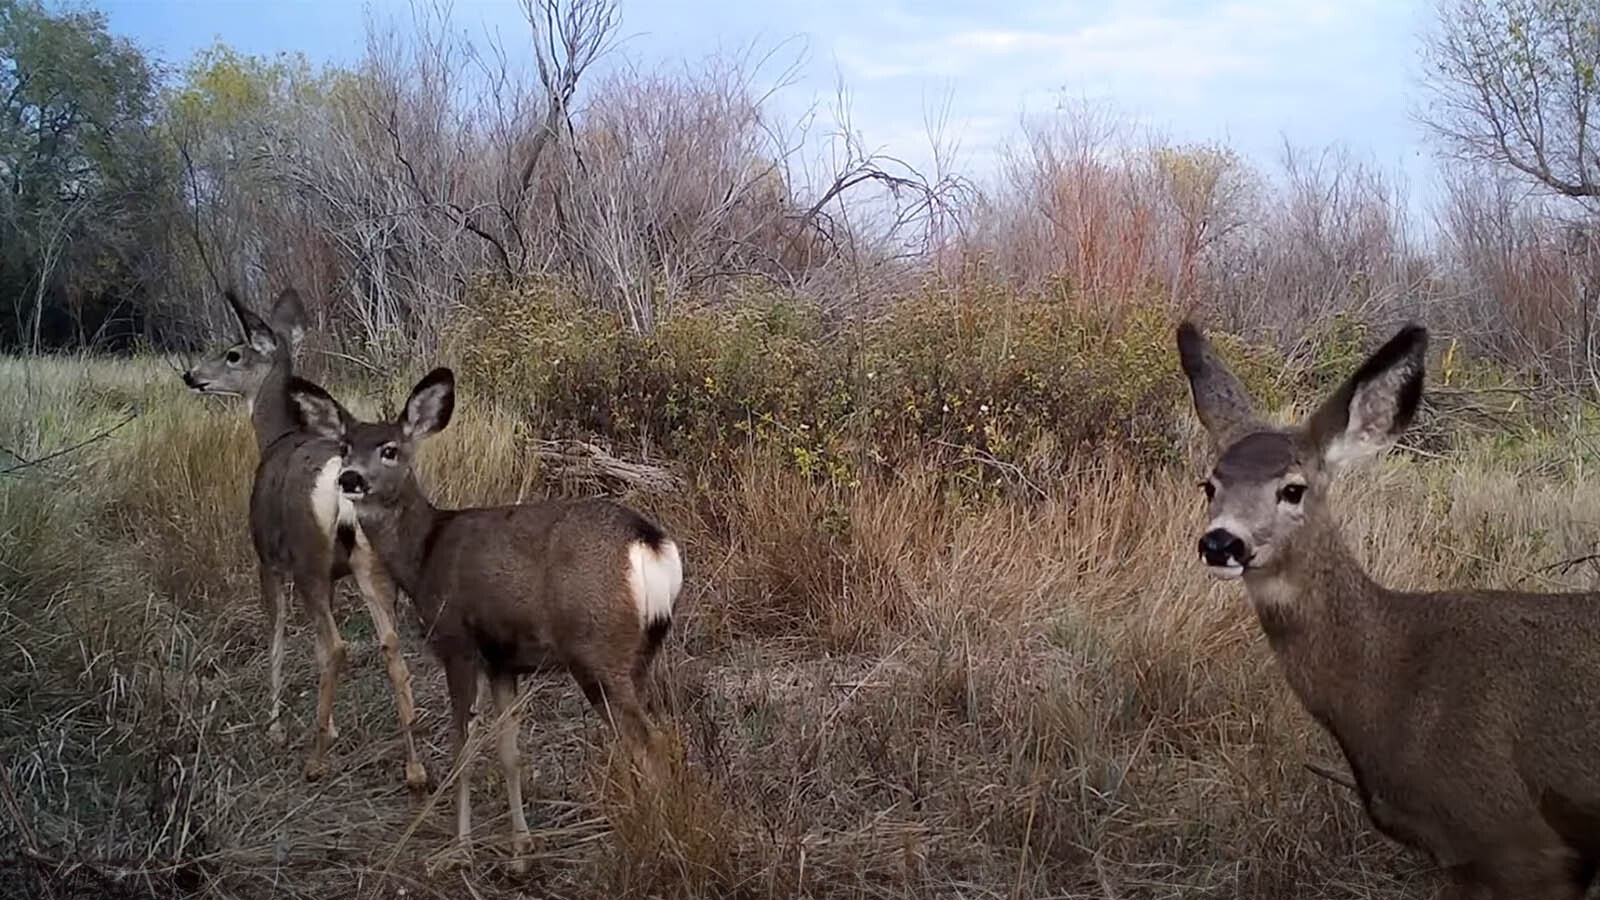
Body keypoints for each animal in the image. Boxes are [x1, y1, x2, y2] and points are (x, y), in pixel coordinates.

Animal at [181, 288, 428, 791]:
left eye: (233, 353)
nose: (191, 375)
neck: (274, 438)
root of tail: (345, 479)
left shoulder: (270, 559)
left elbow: (277, 638)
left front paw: (276, 728)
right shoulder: (335, 574)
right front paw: (328, 723)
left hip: (309, 559)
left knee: (337, 646)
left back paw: (316, 761)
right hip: (371, 563)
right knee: (391, 645)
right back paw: (415, 768)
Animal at [283, 367, 683, 870]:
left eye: (390, 448)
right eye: (344, 445)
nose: (350, 479)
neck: (423, 554)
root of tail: (650, 543)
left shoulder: (458, 644)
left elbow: (463, 751)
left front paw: (459, 849)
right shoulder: (502, 660)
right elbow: (509, 753)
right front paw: (520, 851)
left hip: (598, 650)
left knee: (652, 742)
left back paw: (658, 844)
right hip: (640, 653)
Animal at [1177, 320, 1600, 899]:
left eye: (1293, 489)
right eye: (1210, 485)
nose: (1221, 543)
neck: (1397, 681)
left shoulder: (1520, 841)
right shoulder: (1463, 859)